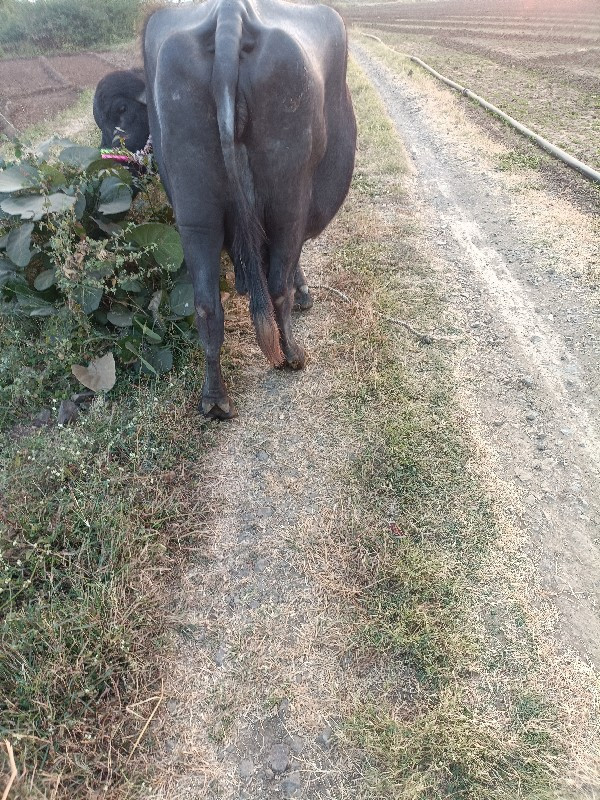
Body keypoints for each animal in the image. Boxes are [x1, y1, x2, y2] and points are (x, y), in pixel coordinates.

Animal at [145, 0, 356, 422]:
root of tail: (230, 19)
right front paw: (304, 293)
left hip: (196, 212)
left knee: (206, 304)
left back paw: (215, 400)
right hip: (289, 194)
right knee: (276, 285)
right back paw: (292, 356)